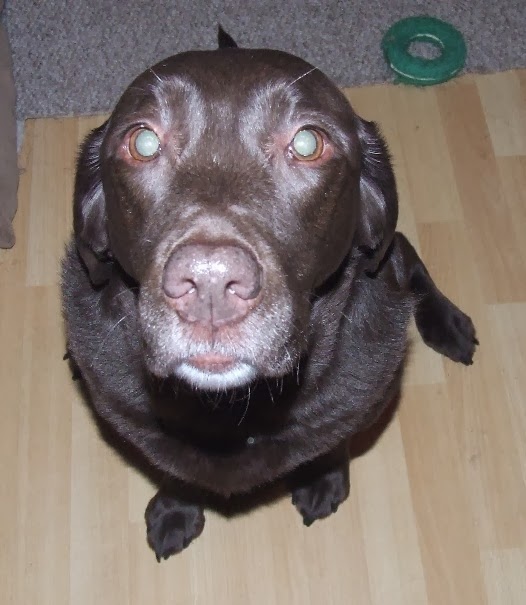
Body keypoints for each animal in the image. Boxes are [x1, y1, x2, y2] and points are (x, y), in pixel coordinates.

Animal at [61, 29, 477, 560]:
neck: (234, 409)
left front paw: (322, 478)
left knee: (409, 256)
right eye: (144, 141)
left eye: (307, 142)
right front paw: (177, 509)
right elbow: (172, 464)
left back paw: (449, 323)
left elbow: (331, 439)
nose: (210, 285)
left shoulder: (362, 397)